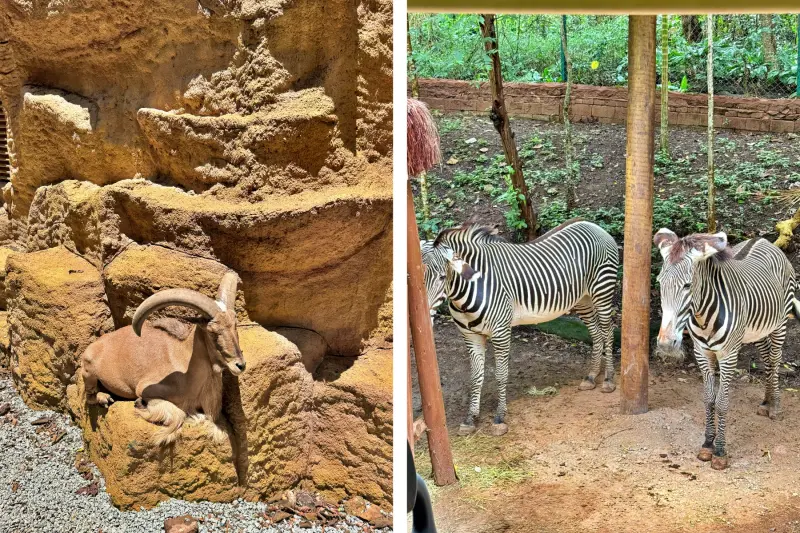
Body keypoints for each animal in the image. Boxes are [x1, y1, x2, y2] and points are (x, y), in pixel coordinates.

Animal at [423, 218, 619, 436]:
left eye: (442, 277)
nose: (425, 318)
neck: (470, 289)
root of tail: (592, 224)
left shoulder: (501, 332)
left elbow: (500, 374)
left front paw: (499, 417)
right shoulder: (470, 336)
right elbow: (475, 377)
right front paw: (470, 419)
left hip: (602, 291)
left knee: (608, 332)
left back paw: (608, 380)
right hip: (583, 299)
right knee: (596, 333)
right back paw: (592, 376)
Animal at [654, 229, 799, 470]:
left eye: (687, 285)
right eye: (659, 283)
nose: (666, 345)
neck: (702, 316)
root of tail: (763, 240)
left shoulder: (728, 355)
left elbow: (721, 402)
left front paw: (720, 451)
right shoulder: (702, 354)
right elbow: (708, 399)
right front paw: (707, 444)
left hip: (779, 324)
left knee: (775, 360)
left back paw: (776, 406)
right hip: (756, 332)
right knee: (766, 360)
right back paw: (766, 401)